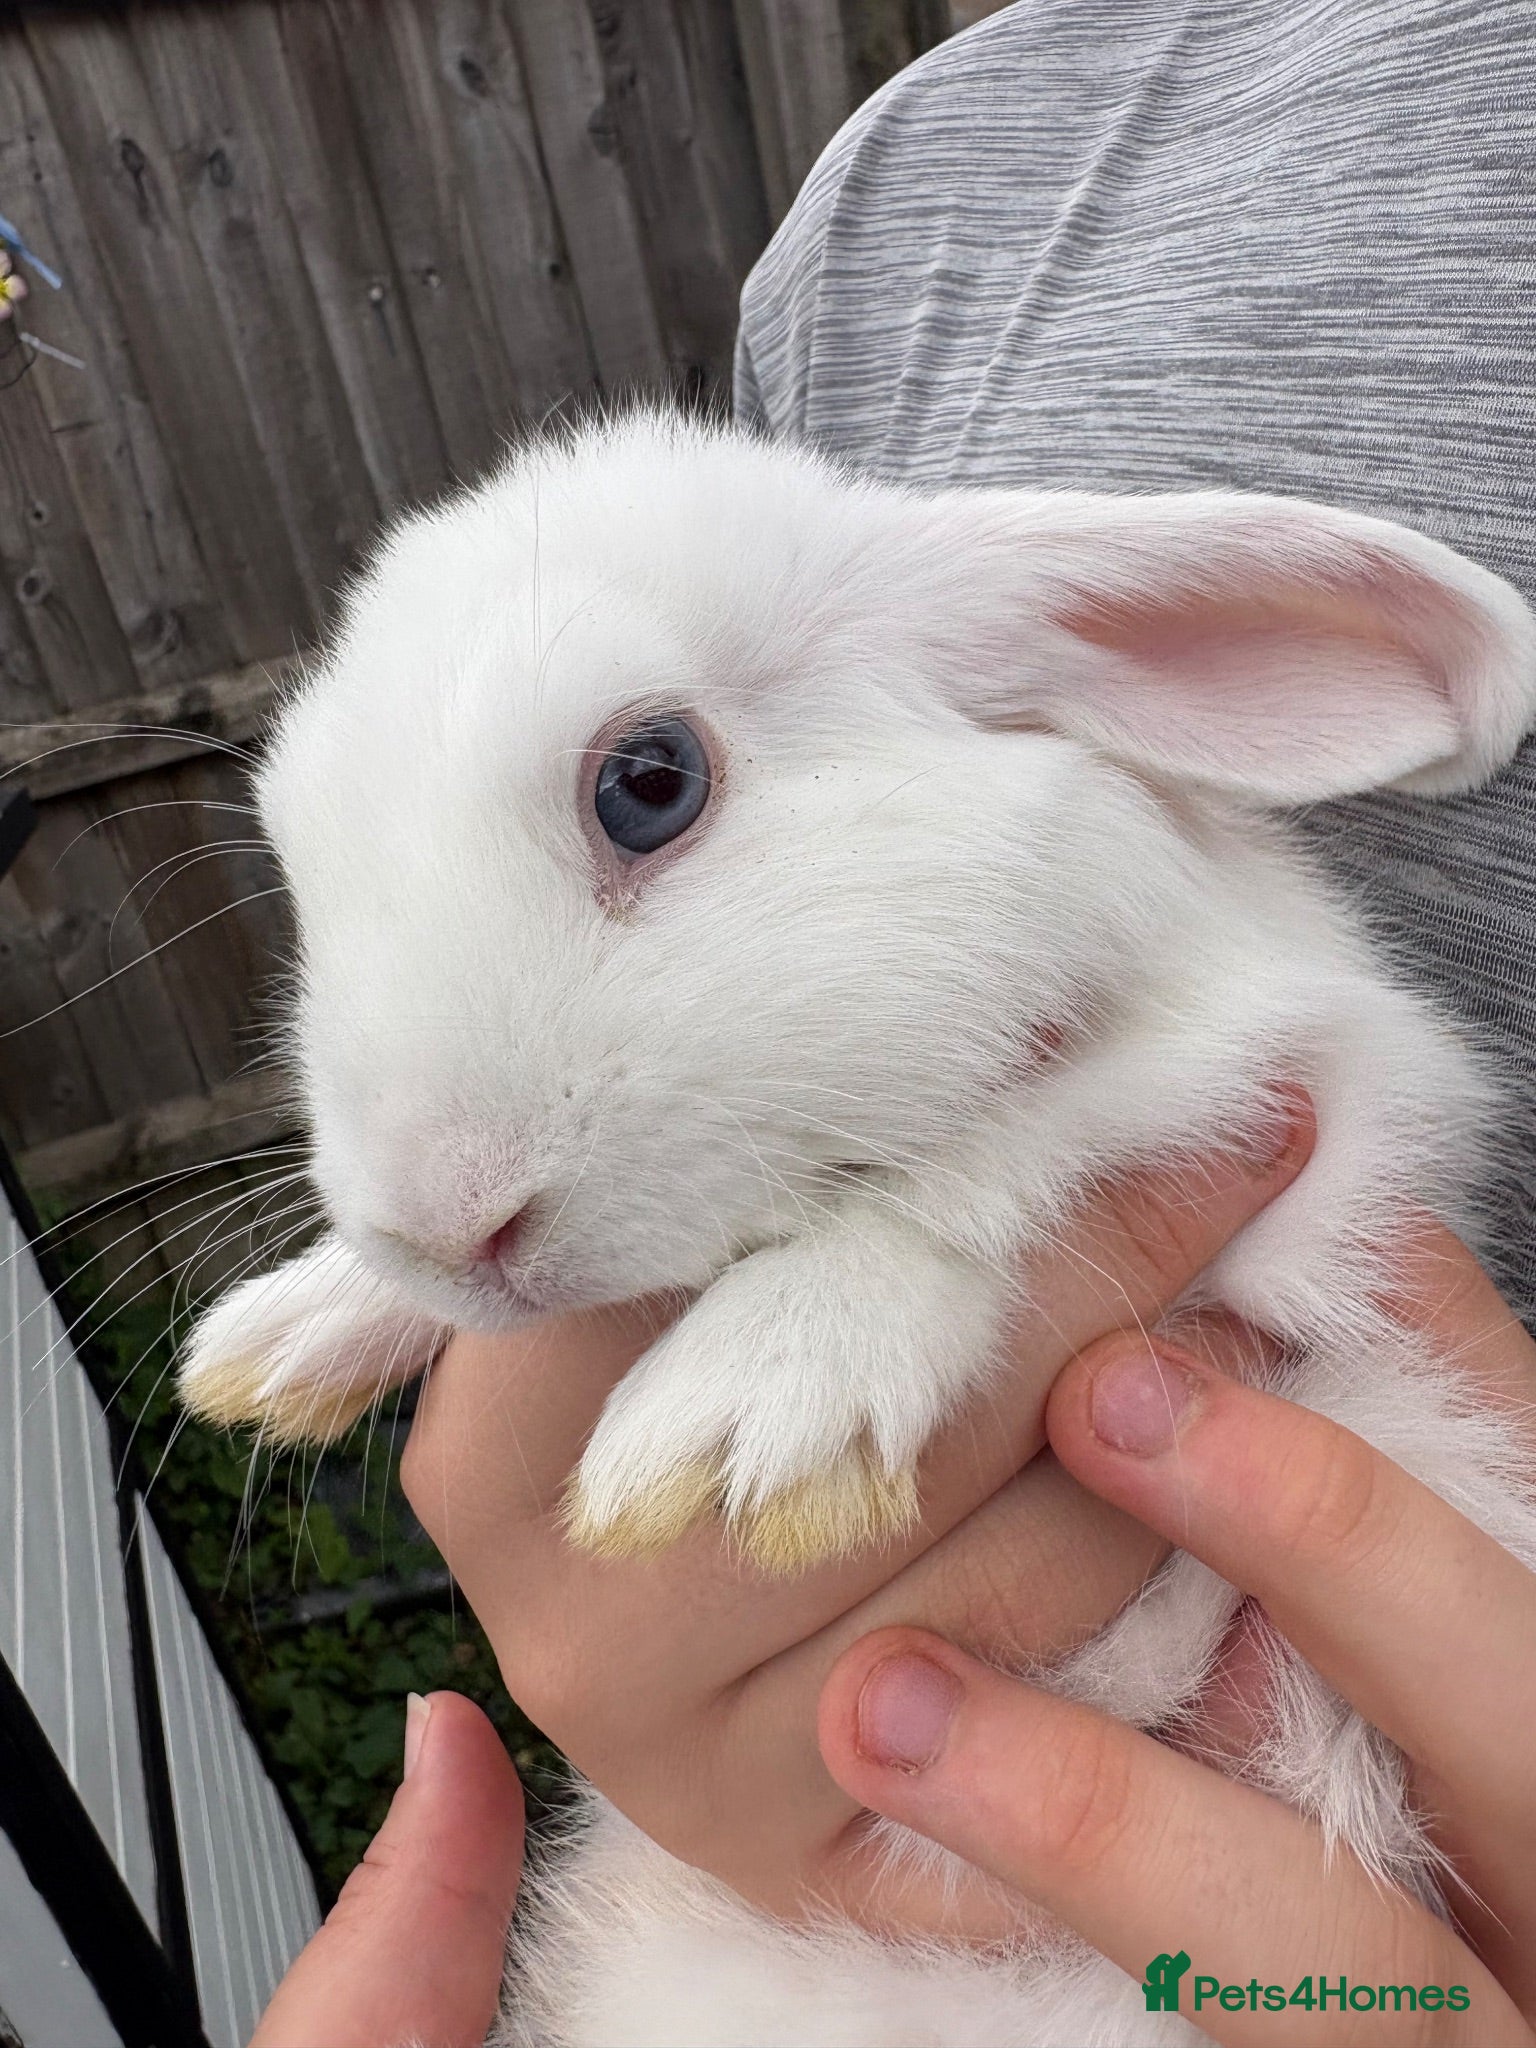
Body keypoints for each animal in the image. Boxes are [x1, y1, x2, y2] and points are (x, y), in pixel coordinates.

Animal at [180, 410, 1536, 2044]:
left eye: (650, 780)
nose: (447, 1226)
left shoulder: (1309, 1094)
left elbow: (1012, 1152)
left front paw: (745, 1403)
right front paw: (283, 1337)